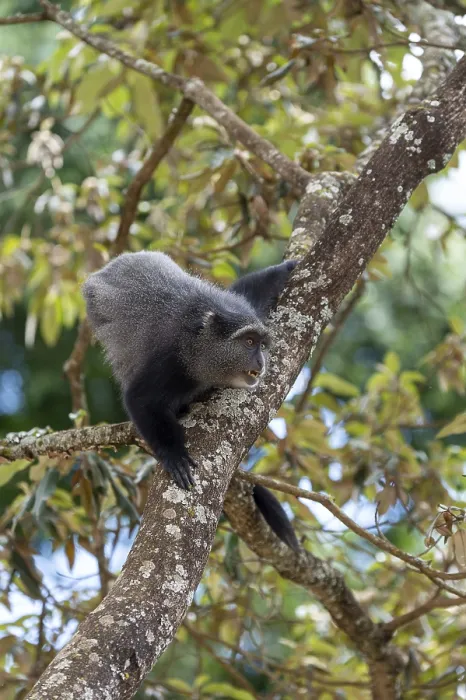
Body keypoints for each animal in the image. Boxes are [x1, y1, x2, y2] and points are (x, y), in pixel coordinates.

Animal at [82, 251, 300, 551]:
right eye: (249, 342)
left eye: (262, 344)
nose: (261, 362)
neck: (201, 338)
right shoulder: (172, 360)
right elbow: (140, 398)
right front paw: (174, 454)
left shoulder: (239, 306)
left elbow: (249, 289)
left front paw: (288, 266)